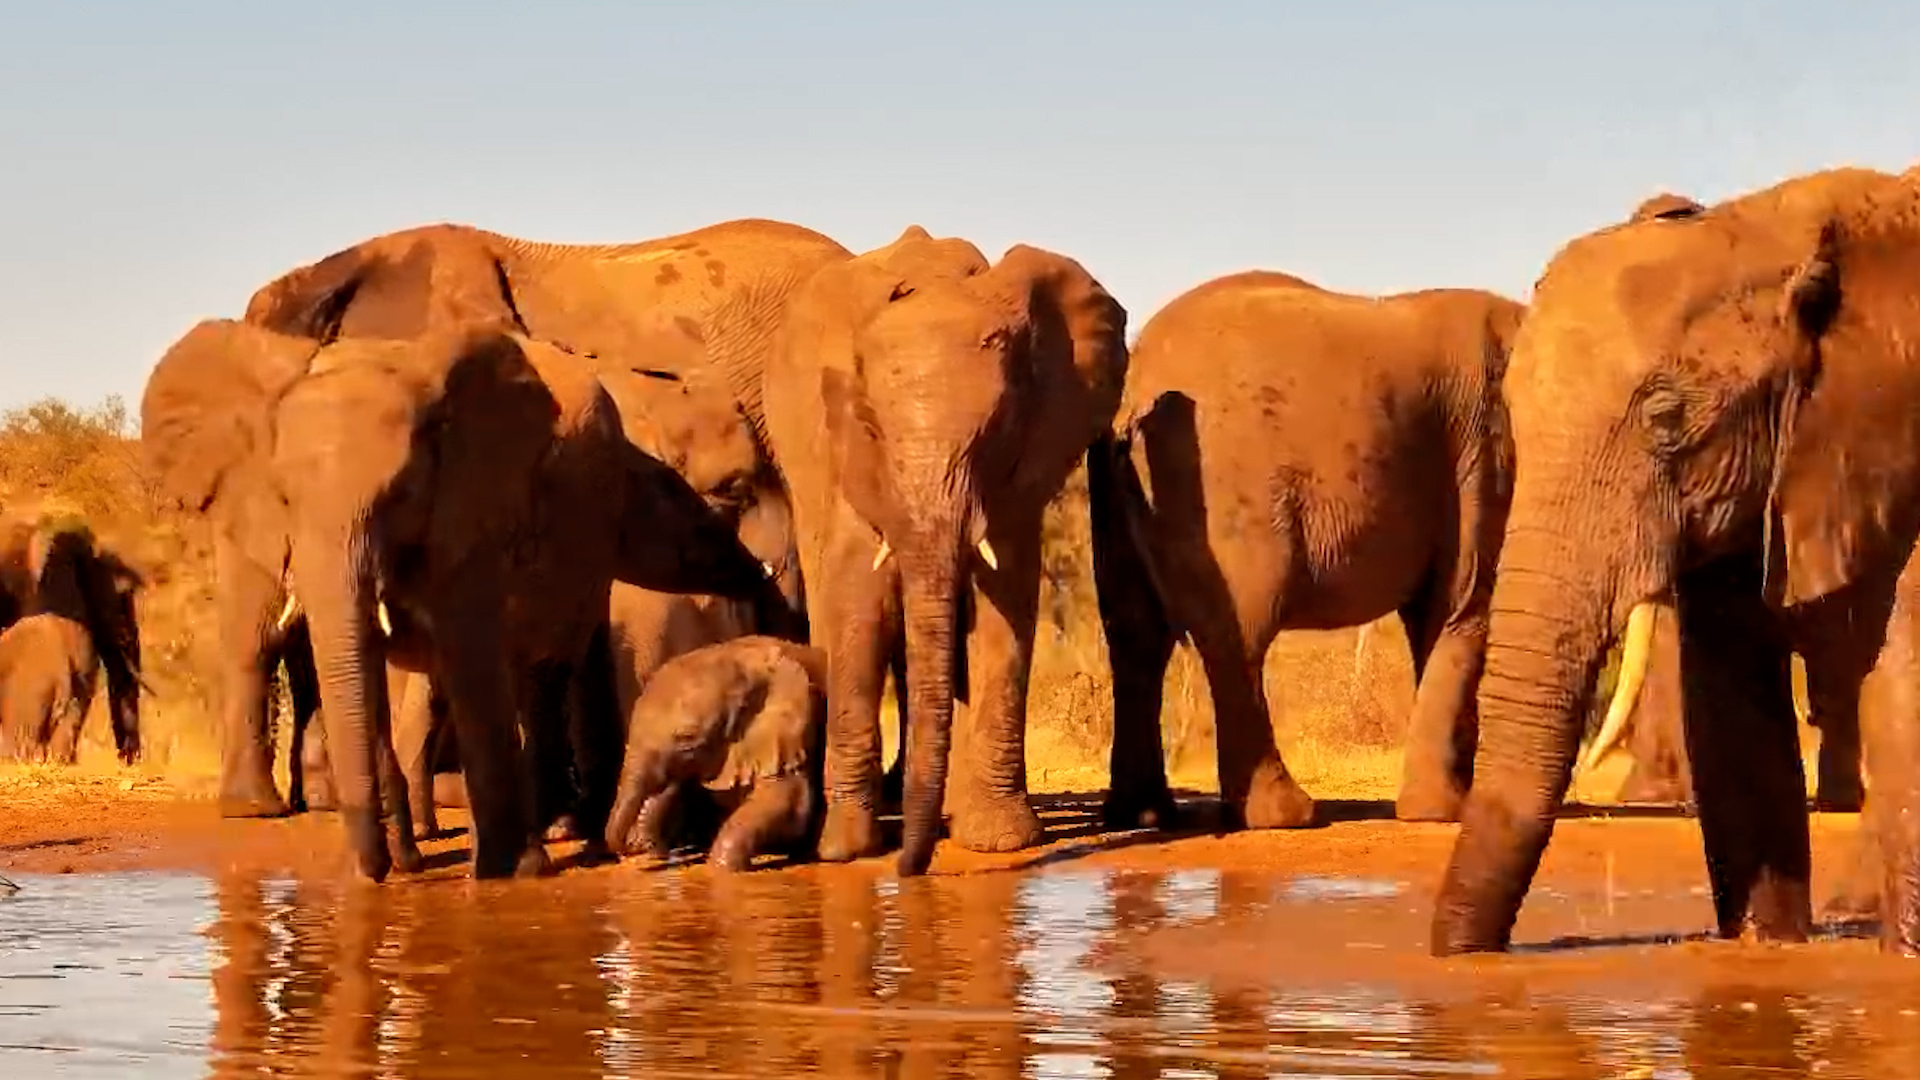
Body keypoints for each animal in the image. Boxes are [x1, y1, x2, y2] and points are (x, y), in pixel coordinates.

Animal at [141, 320, 783, 881]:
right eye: (281, 497)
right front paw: (404, 863)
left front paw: (504, 872)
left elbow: (470, 654)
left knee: (541, 672)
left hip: (584, 542)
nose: (375, 871)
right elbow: (367, 667)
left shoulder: (473, 507)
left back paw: (547, 837)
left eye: (401, 493)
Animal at [752, 225, 1129, 875]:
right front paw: (846, 852)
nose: (911, 869)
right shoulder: (844, 452)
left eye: (998, 427)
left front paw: (999, 842)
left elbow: (1007, 603)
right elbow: (858, 597)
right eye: (872, 426)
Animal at [1090, 271, 1525, 830]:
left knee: (1135, 634)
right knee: (1240, 631)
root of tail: (1137, 385)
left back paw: (1142, 815)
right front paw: (1447, 812)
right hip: (1219, 474)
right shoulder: (1488, 451)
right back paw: (1284, 815)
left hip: (1112, 482)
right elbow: (1460, 608)